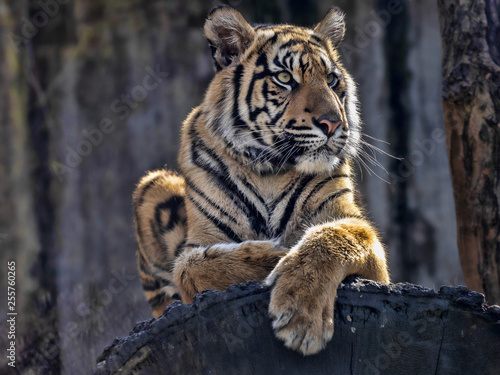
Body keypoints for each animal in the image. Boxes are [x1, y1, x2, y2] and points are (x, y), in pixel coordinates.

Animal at [134, 6, 390, 358]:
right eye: (284, 78)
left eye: (331, 79)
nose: (333, 123)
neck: (270, 170)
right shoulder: (199, 241)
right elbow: (192, 266)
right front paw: (280, 253)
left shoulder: (356, 229)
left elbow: (332, 237)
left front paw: (300, 317)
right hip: (153, 184)